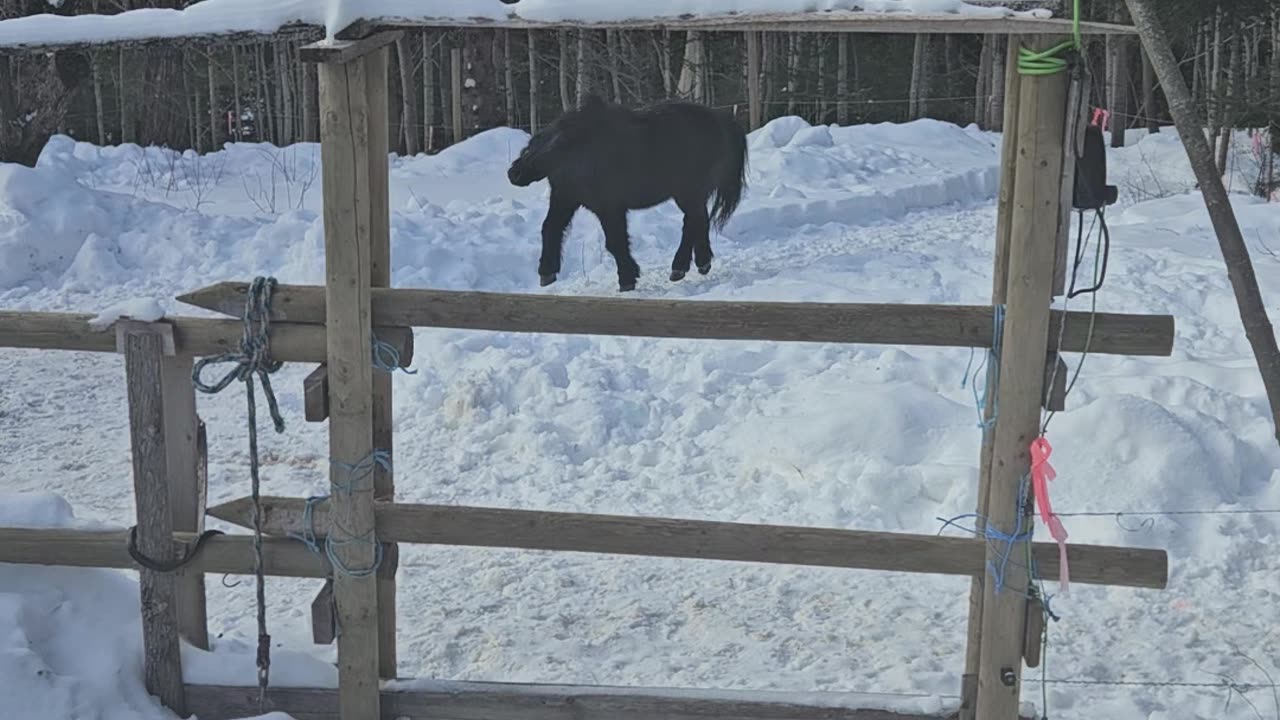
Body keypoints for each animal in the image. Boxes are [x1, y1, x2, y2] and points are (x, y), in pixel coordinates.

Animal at [509, 94, 747, 289]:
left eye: (534, 150)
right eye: (528, 146)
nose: (513, 173)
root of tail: (719, 119)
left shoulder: (609, 208)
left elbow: (615, 242)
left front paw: (627, 278)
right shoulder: (565, 199)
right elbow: (550, 228)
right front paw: (546, 273)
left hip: (688, 192)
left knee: (693, 222)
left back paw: (685, 266)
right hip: (691, 194)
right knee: (698, 221)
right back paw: (696, 264)